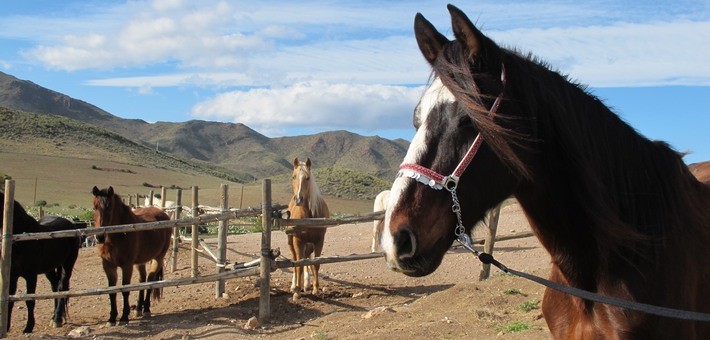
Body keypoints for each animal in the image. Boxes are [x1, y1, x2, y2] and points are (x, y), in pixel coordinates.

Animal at [0, 193, 82, 334]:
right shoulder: (12, 276)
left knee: (61, 287)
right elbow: (10, 299)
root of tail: (71, 225)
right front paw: (6, 327)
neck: (21, 239)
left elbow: (30, 301)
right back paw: (54, 317)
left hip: (67, 265)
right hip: (50, 269)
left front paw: (28, 327)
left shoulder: (31, 276)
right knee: (55, 287)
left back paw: (57, 319)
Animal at [90, 187, 172, 326]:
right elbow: (112, 291)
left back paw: (146, 309)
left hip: (158, 258)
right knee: (142, 280)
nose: (100, 237)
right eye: (94, 207)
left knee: (150, 280)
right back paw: (139, 309)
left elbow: (125, 290)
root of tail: (163, 214)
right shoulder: (108, 265)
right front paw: (112, 318)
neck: (117, 236)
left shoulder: (127, 266)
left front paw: (124, 317)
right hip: (140, 262)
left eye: (109, 207)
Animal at [286, 158, 330, 298]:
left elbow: (315, 264)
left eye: (307, 178)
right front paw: (296, 292)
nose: (299, 199)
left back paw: (306, 284)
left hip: (308, 244)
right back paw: (294, 286)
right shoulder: (298, 240)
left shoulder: (319, 241)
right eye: (293, 176)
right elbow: (298, 264)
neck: (310, 215)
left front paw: (315, 288)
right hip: (291, 241)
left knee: (306, 259)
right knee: (295, 260)